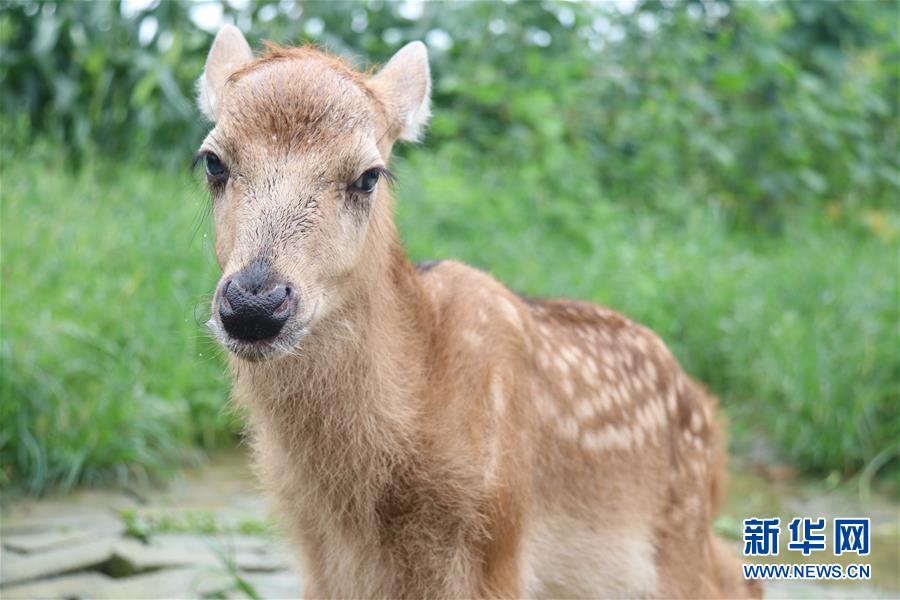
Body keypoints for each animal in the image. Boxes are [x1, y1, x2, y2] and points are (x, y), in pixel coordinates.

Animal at [195, 24, 760, 600]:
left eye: (369, 175)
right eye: (213, 161)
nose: (255, 304)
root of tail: (709, 417)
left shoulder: (497, 544)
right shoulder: (319, 558)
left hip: (681, 541)